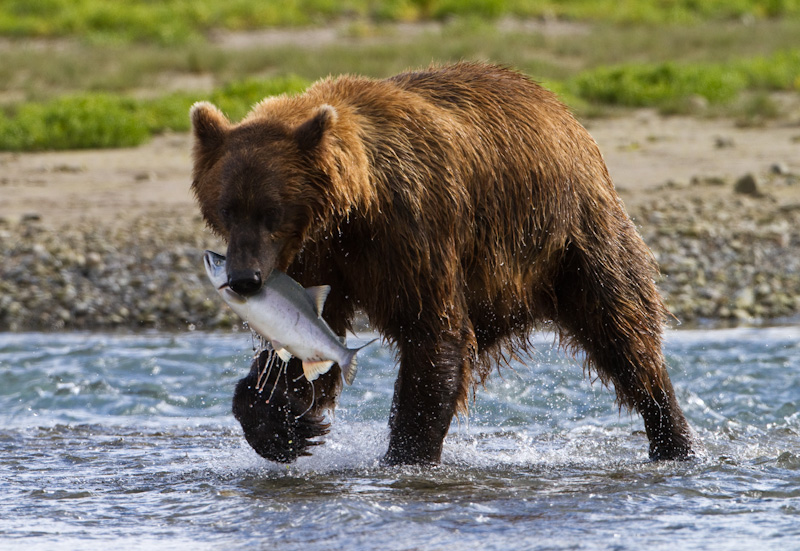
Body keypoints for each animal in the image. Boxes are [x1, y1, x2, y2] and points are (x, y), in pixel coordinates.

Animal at [189, 61, 692, 466]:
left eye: (271, 211)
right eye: (227, 208)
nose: (244, 279)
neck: (352, 209)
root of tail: (561, 109)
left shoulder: (411, 230)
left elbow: (433, 332)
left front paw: (405, 455)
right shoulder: (314, 257)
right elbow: (306, 338)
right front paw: (285, 424)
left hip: (573, 235)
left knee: (621, 329)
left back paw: (673, 439)